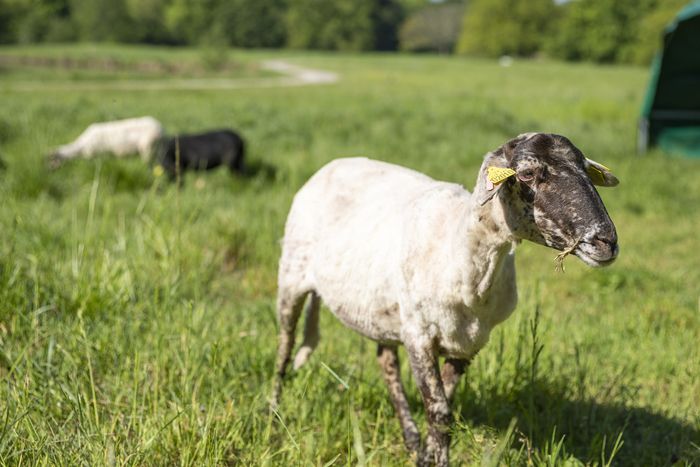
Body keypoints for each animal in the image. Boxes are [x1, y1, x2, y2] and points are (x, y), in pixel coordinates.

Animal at [272, 133, 616, 467]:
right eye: (527, 174)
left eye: (586, 170)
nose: (606, 241)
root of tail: (334, 164)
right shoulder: (419, 336)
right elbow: (439, 412)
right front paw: (434, 456)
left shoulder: (468, 343)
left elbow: (444, 407)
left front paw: (426, 455)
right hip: (291, 278)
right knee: (285, 347)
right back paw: (273, 412)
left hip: (383, 308)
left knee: (386, 361)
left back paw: (411, 441)